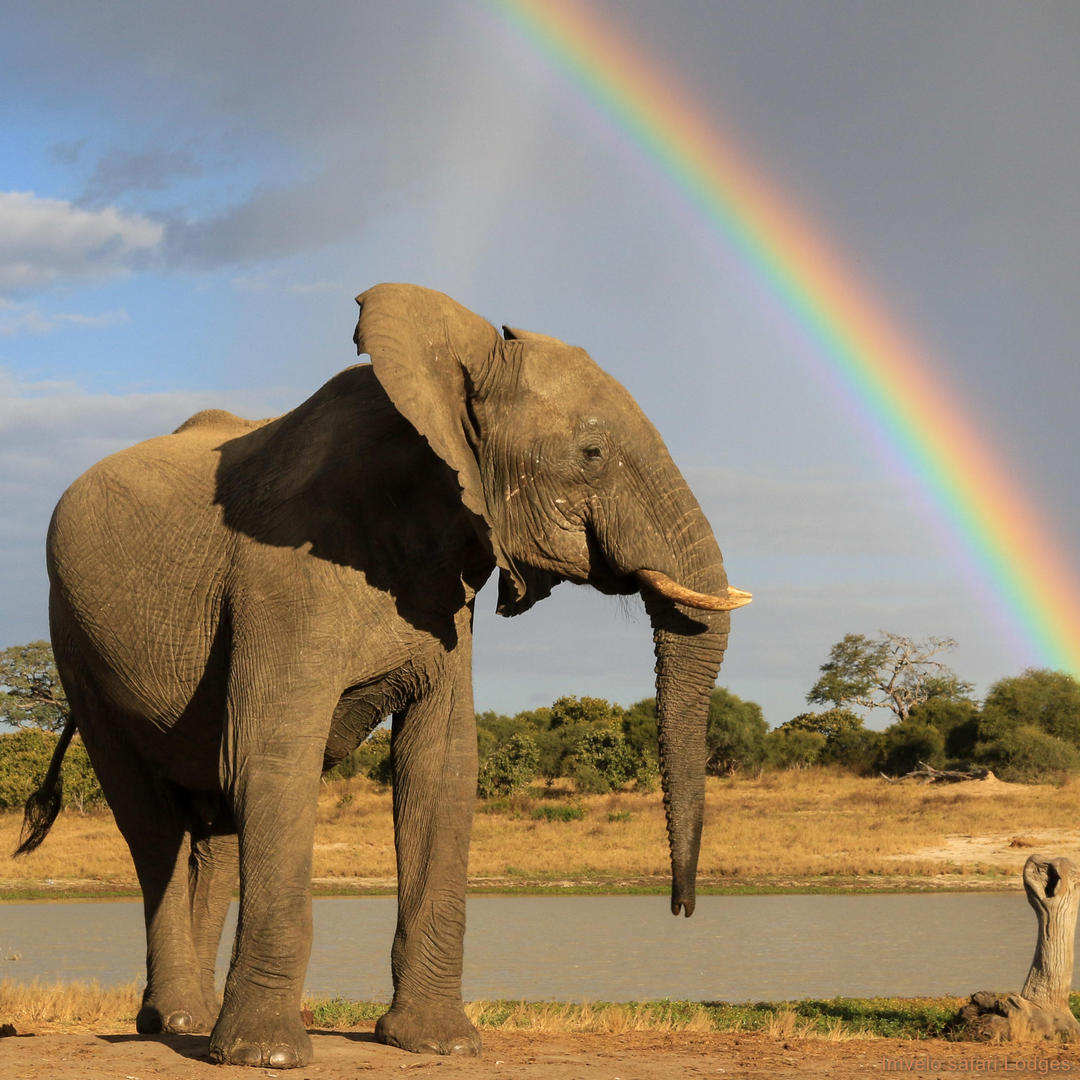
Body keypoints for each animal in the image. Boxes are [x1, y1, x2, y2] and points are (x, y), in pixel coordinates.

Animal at [16, 282, 750, 1067]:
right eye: (592, 454)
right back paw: (180, 1021)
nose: (680, 908)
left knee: (212, 829)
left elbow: (441, 766)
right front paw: (266, 1058)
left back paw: (191, 1021)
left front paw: (438, 1044)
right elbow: (272, 759)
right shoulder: (282, 577)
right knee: (153, 826)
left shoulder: (446, 591)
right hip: (75, 640)